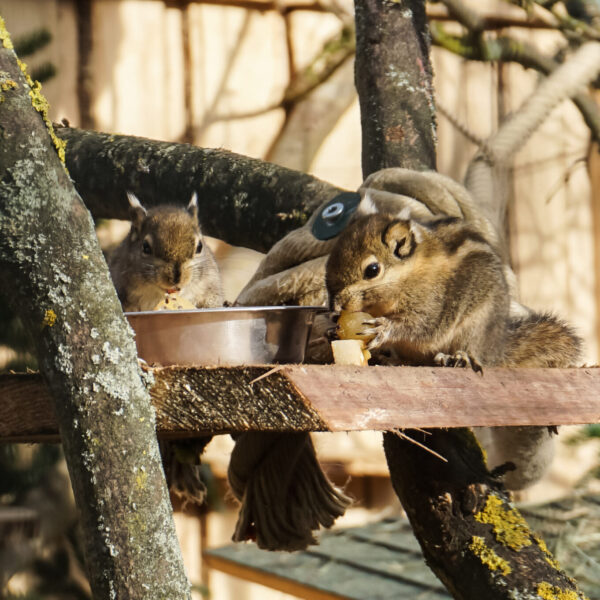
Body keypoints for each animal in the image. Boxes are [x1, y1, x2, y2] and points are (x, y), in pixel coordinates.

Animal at [326, 213, 584, 490]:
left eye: (372, 270)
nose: (335, 305)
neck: (407, 275)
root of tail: (496, 348)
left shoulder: (433, 305)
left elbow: (419, 326)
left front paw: (384, 328)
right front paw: (331, 328)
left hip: (475, 327)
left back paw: (457, 357)